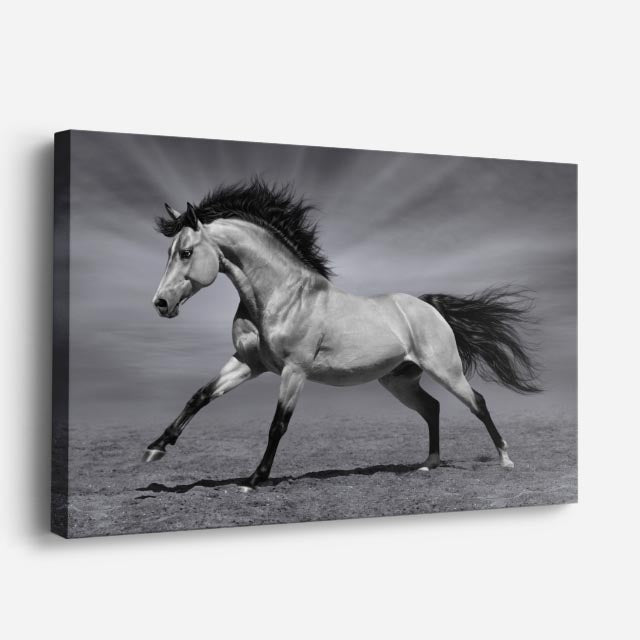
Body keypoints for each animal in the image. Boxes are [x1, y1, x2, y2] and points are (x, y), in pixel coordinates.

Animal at [144, 179, 540, 488]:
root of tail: (429, 306)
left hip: (446, 370)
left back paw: (505, 459)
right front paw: (155, 448)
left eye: (186, 252)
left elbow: (278, 424)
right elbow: (199, 396)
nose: (161, 303)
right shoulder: (247, 363)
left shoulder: (294, 371)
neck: (282, 296)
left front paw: (255, 479)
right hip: (399, 381)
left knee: (477, 403)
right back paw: (428, 464)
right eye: (169, 252)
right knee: (432, 408)